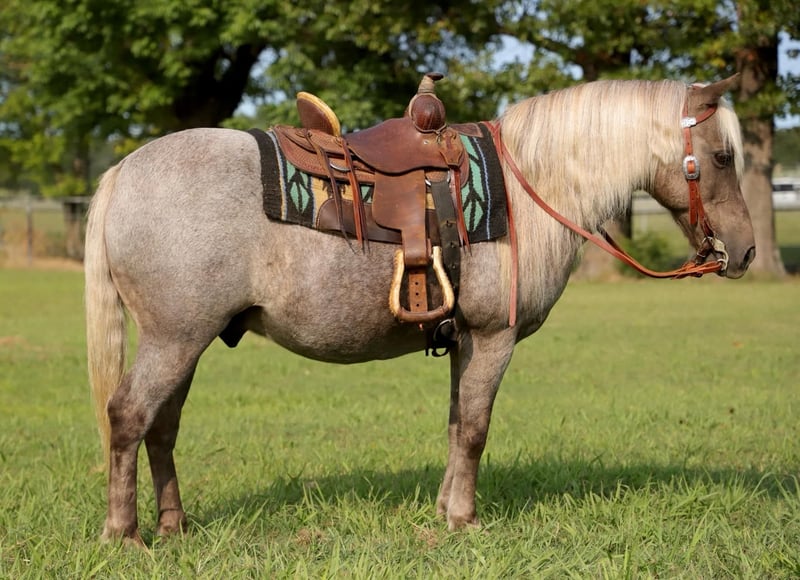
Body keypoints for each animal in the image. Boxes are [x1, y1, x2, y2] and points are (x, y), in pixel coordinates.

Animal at [85, 75, 754, 544]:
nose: (744, 251)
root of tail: (123, 172)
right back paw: (125, 535)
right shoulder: (492, 338)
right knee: (128, 416)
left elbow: (458, 425)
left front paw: (442, 511)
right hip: (175, 339)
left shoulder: (463, 340)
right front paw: (465, 520)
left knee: (161, 427)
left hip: (185, 341)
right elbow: (477, 429)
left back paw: (173, 525)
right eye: (723, 156)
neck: (527, 188)